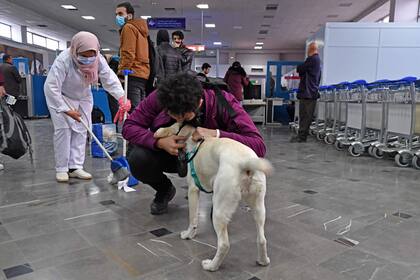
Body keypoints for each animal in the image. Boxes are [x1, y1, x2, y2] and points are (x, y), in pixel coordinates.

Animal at [154, 122, 272, 272]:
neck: (191, 136)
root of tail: (246, 163)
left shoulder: (193, 190)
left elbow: (193, 219)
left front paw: (188, 235)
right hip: (259, 207)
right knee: (262, 239)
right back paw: (263, 261)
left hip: (219, 211)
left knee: (224, 244)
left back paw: (211, 266)